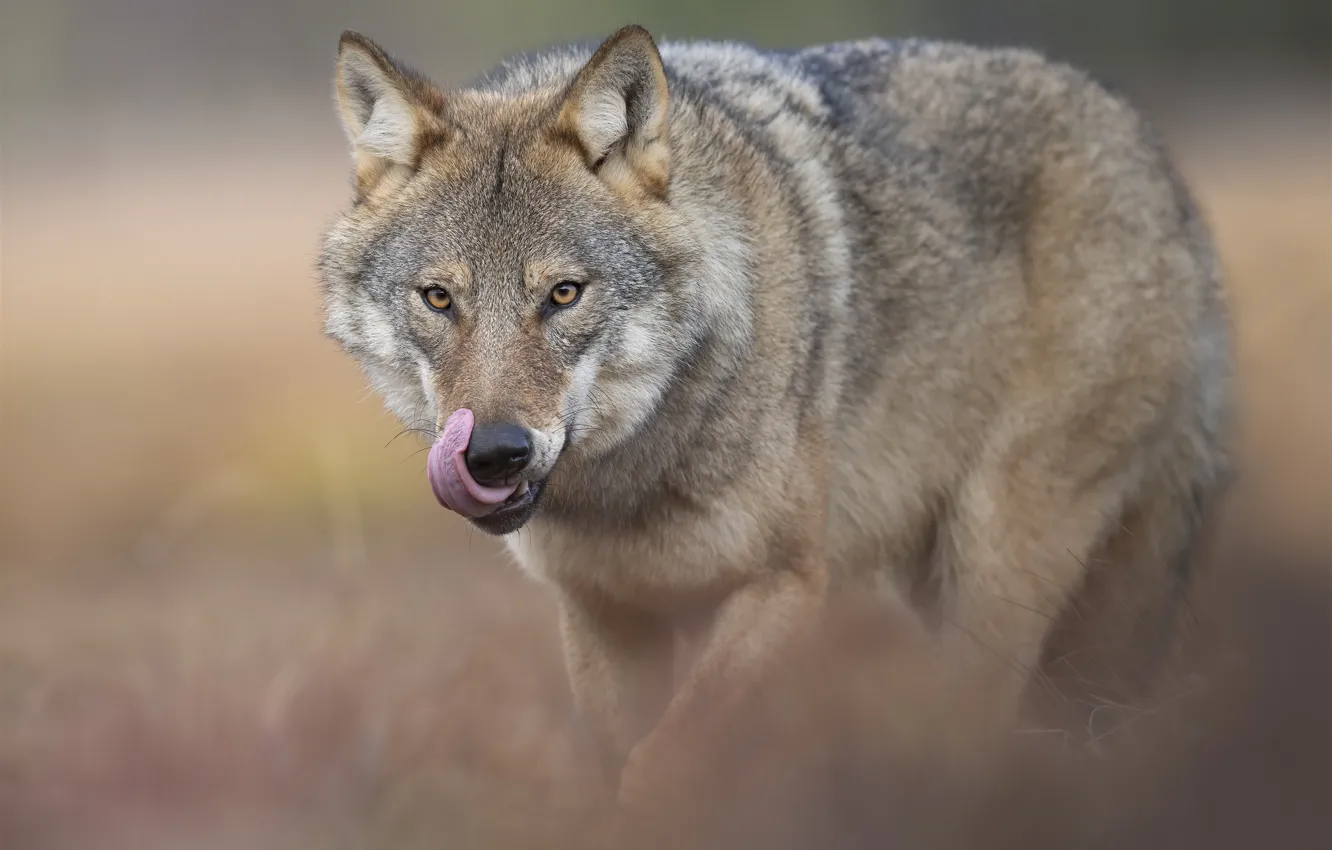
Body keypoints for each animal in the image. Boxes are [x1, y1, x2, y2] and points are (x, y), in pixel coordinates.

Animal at [317, 24, 1233, 807]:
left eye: (564, 295)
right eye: (439, 299)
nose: (496, 455)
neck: (633, 482)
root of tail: (1157, 159)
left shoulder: (789, 583)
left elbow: (664, 761)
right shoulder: (604, 611)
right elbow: (620, 759)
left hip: (999, 556)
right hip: (939, 578)